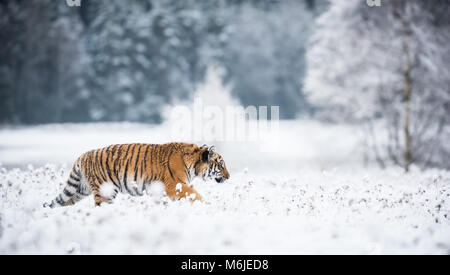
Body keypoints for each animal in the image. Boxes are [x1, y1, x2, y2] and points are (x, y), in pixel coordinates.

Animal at [44, 143, 230, 208]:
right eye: (221, 164)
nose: (229, 177)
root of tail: (82, 156)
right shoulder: (173, 186)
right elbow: (194, 193)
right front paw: (205, 204)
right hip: (105, 191)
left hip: (79, 191)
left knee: (62, 201)